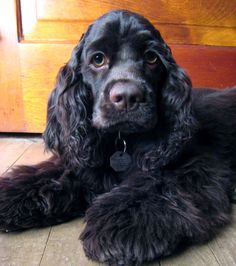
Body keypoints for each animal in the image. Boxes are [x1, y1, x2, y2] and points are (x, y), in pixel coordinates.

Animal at [0, 9, 236, 264]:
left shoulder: (195, 166)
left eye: (152, 58)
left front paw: (120, 223)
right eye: (98, 59)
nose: (128, 97)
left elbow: (155, 184)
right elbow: (50, 173)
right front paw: (12, 193)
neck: (121, 140)